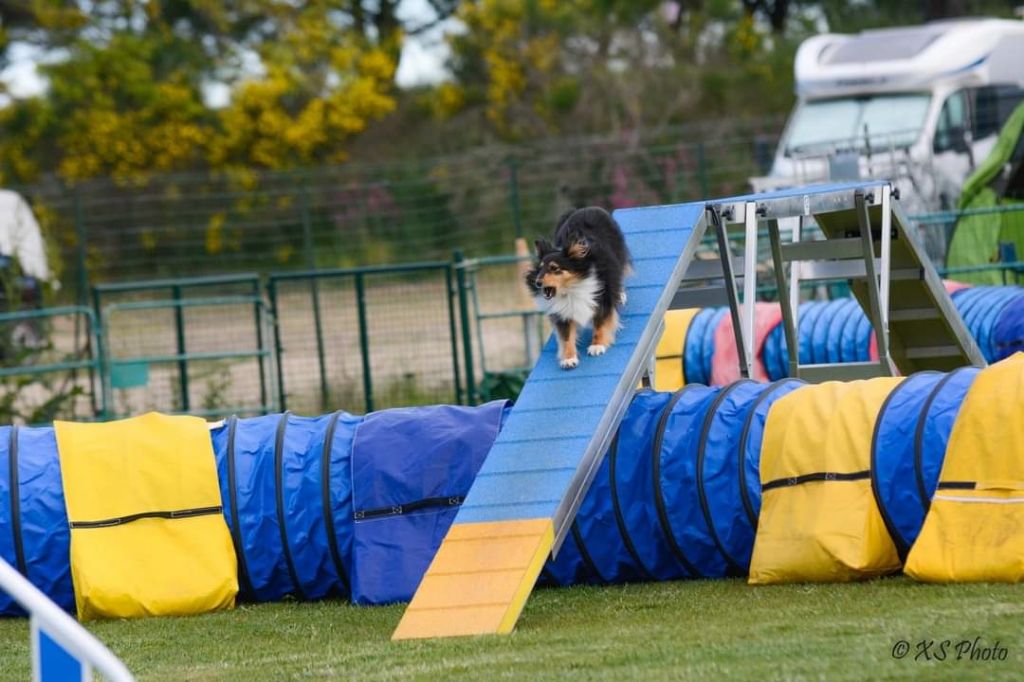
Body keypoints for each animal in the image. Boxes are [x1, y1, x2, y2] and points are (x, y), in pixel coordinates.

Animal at [528, 205, 630, 368]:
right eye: (540, 268)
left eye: (554, 268)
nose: (537, 282)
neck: (571, 288)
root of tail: (584, 209)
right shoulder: (562, 312)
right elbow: (567, 336)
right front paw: (569, 359)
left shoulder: (602, 297)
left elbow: (600, 323)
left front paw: (597, 346)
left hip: (617, 256)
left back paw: (620, 295)